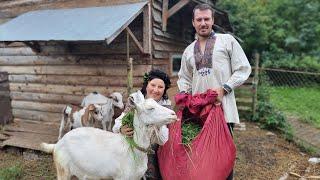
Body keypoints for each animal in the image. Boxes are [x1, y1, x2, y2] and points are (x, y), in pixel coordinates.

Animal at [41, 94, 176, 180]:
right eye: (150, 108)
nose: (173, 114)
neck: (131, 149)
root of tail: (57, 144)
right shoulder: (121, 178)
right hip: (63, 171)